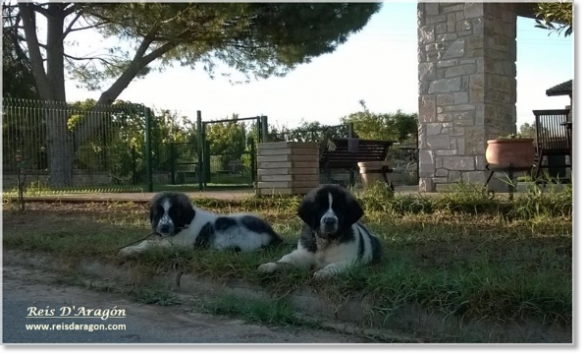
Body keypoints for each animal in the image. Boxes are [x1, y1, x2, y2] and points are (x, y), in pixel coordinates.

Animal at [117, 191, 282, 258]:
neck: (185, 224)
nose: (164, 227)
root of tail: (272, 236)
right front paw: (130, 248)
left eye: (174, 214)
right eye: (158, 213)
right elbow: (148, 242)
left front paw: (130, 250)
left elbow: (150, 244)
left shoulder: (179, 245)